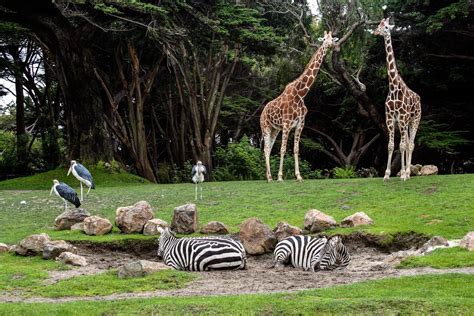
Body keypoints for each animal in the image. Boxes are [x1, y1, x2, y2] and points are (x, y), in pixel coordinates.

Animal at [260, 30, 336, 183]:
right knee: (266, 149)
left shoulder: (300, 124)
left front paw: (299, 176)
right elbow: (283, 149)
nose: (330, 44)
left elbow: (296, 150)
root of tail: (262, 111)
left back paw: (268, 177)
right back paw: (270, 178)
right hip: (265, 126)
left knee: (268, 149)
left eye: (332, 38)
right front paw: (280, 177)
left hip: (275, 129)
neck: (301, 94)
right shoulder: (287, 124)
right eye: (324, 39)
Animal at [374, 17, 422, 180]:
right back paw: (406, 172)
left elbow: (401, 146)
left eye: (386, 27)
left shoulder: (401, 118)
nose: (375, 32)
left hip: (414, 119)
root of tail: (419, 98)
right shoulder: (390, 118)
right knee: (407, 143)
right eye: (379, 25)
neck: (394, 86)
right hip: (406, 123)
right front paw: (387, 175)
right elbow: (391, 146)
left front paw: (402, 175)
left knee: (411, 144)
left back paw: (407, 173)